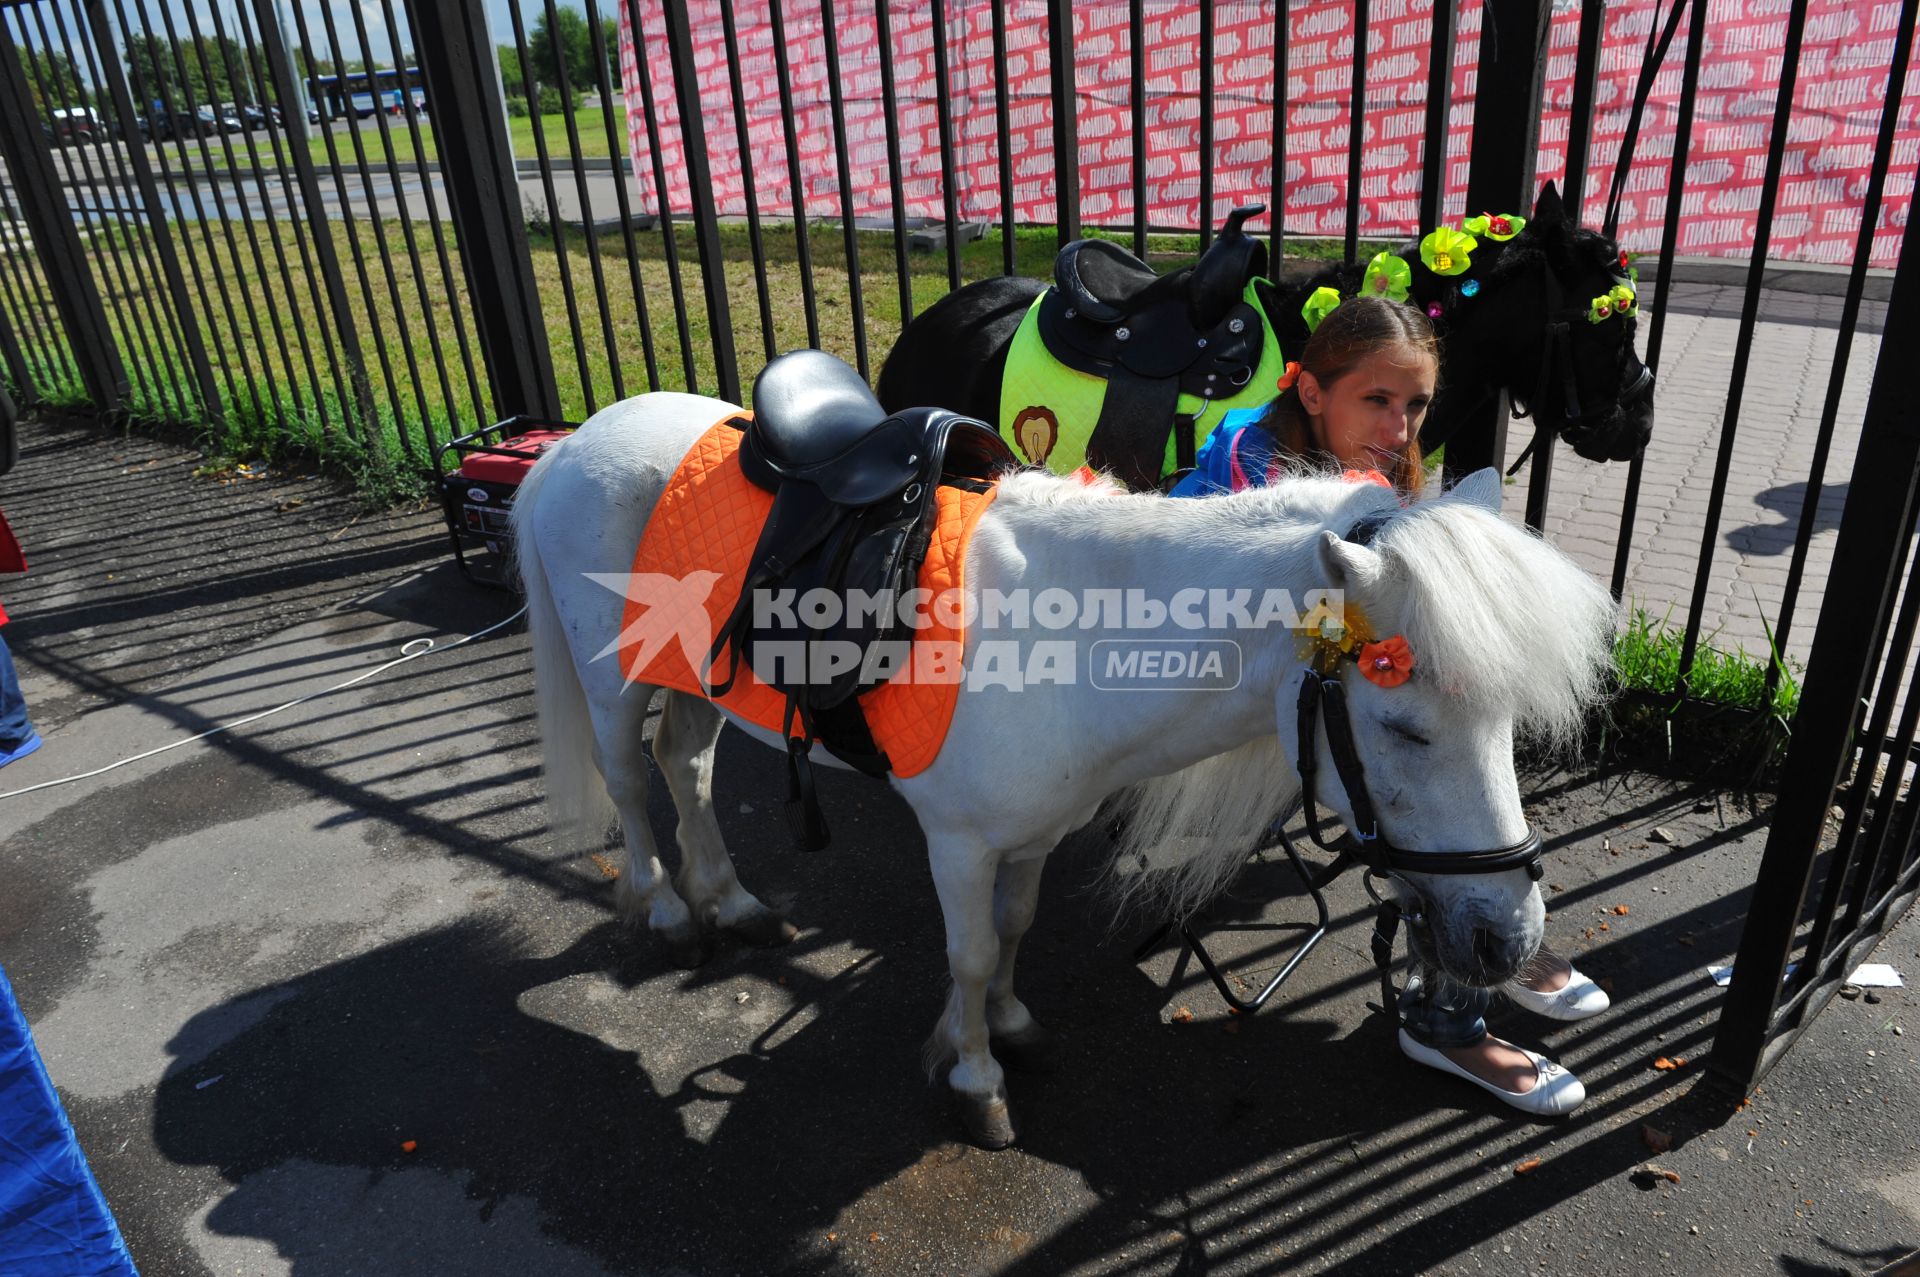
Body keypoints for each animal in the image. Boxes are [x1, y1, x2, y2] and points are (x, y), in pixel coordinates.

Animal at [514, 391, 1620, 1144]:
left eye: (1503, 721)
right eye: (1404, 727)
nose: (1508, 939)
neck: (1075, 629)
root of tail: (573, 440)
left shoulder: (1035, 834)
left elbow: (1014, 927)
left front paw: (1009, 1023)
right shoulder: (959, 842)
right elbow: (966, 953)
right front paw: (975, 1079)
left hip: (696, 680)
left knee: (687, 768)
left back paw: (732, 898)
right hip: (613, 683)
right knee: (631, 781)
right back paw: (668, 909)